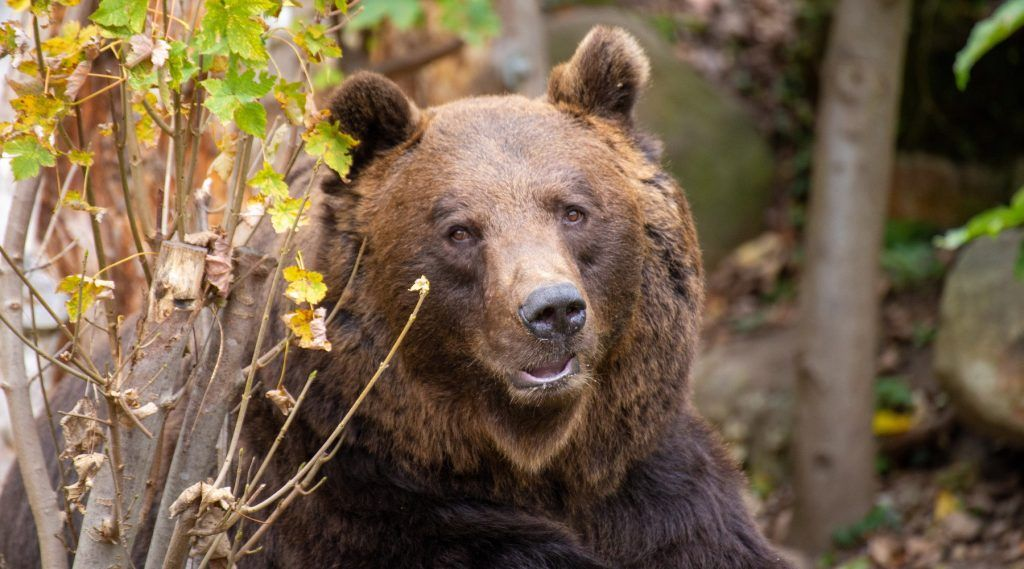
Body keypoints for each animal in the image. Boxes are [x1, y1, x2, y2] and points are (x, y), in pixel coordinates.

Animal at [0, 25, 790, 564]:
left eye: (573, 209)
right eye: (460, 230)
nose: (553, 311)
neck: (531, 464)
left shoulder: (657, 495)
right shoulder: (336, 504)